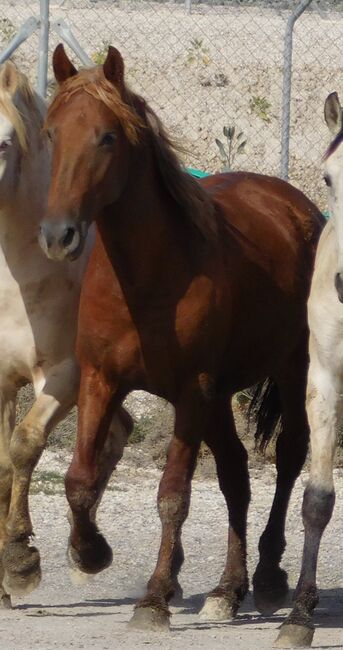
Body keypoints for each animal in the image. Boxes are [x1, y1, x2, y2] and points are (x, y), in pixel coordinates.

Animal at [39, 44, 324, 628]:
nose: (59, 235)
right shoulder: (100, 380)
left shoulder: (192, 391)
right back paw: (228, 589)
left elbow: (173, 494)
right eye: (52, 132)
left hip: (289, 366)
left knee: (288, 454)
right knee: (236, 472)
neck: (146, 277)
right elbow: (79, 480)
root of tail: (294, 203)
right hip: (218, 398)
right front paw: (90, 553)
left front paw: (153, 597)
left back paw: (268, 575)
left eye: (106, 136)